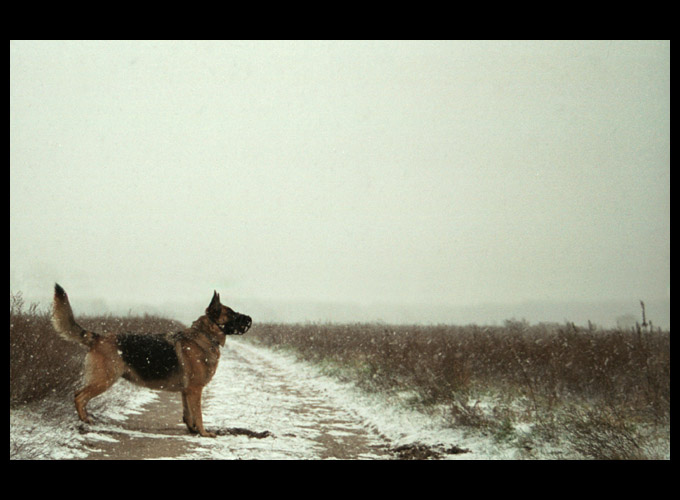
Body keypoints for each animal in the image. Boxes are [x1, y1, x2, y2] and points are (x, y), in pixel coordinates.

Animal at [51, 286, 252, 438]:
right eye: (233, 314)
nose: (250, 318)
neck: (204, 335)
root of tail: (98, 338)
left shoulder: (187, 391)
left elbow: (188, 414)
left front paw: (193, 430)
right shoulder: (195, 390)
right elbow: (199, 415)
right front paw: (204, 433)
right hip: (104, 380)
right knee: (78, 396)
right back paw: (85, 419)